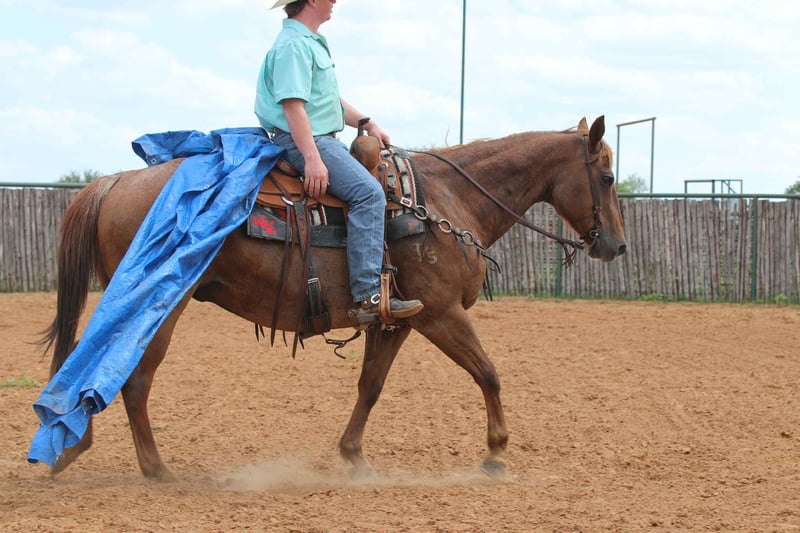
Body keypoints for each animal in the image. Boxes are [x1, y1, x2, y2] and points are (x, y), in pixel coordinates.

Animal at [39, 116, 626, 481]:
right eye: (607, 176)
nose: (616, 246)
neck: (442, 202)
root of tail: (113, 182)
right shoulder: (441, 315)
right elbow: (489, 373)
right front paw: (497, 455)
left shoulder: (398, 319)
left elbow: (371, 386)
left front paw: (354, 458)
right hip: (159, 307)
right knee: (132, 380)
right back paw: (153, 469)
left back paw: (74, 448)